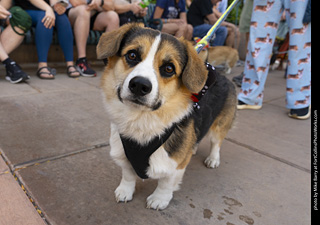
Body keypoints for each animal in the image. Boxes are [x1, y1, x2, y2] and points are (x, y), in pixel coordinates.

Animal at [96, 23, 236, 210]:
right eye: (132, 55)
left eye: (169, 68)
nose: (139, 85)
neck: (141, 119)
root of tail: (223, 77)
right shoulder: (123, 155)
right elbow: (128, 175)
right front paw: (125, 191)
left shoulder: (175, 165)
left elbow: (166, 183)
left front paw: (159, 199)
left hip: (219, 126)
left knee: (216, 143)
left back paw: (213, 159)